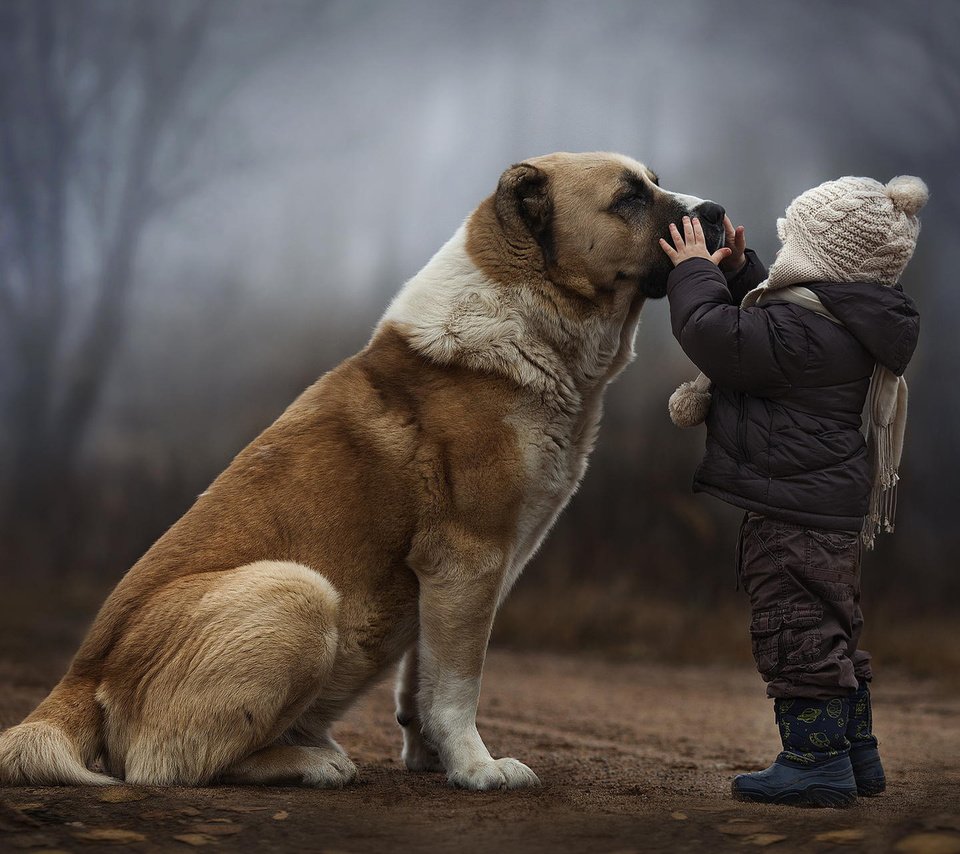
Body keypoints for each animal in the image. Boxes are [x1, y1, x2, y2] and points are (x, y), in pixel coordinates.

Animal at [0, 154, 720, 796]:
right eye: (628, 197)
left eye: (653, 181)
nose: (714, 211)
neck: (527, 317)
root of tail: (78, 677)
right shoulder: (469, 560)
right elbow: (457, 684)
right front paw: (478, 770)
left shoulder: (450, 580)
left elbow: (422, 680)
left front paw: (433, 760)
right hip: (300, 592)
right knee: (168, 765)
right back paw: (313, 763)